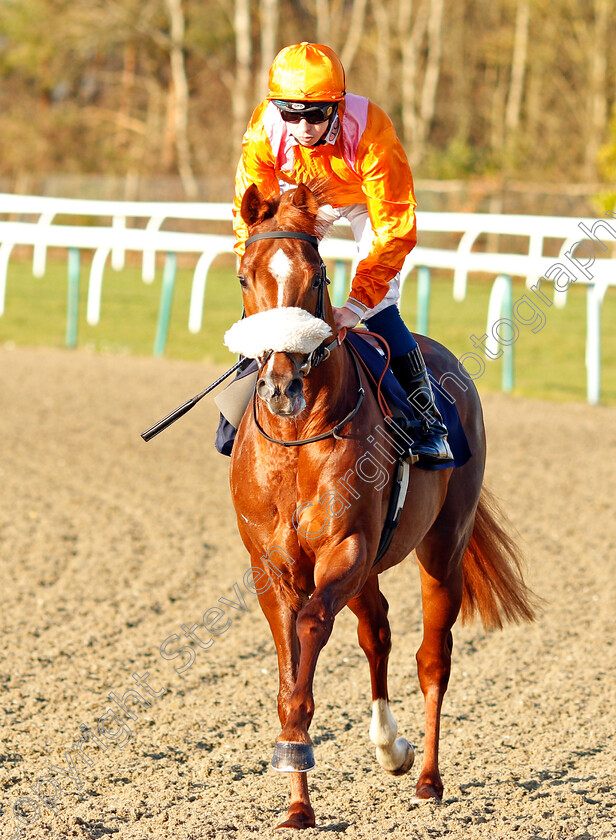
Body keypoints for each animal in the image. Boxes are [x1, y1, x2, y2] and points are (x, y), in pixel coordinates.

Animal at [226, 182, 536, 828]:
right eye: (245, 276)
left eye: (317, 274)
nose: (281, 387)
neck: (298, 438)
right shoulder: (272, 565)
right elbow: (290, 668)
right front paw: (297, 804)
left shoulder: (345, 548)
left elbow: (311, 631)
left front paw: (298, 754)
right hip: (369, 568)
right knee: (378, 632)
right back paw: (390, 746)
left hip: (441, 546)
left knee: (432, 657)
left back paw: (426, 777)